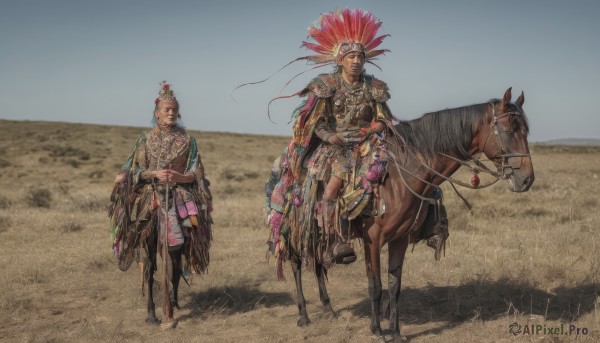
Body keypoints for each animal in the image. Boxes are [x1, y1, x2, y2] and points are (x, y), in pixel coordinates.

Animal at [290, 88, 536, 342]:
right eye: (509, 131)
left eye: (526, 131)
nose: (527, 179)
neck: (400, 175)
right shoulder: (373, 241)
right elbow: (375, 286)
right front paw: (377, 330)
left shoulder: (399, 239)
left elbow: (394, 286)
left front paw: (395, 332)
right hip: (295, 229)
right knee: (297, 265)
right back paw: (303, 316)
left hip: (318, 233)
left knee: (318, 263)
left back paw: (329, 309)